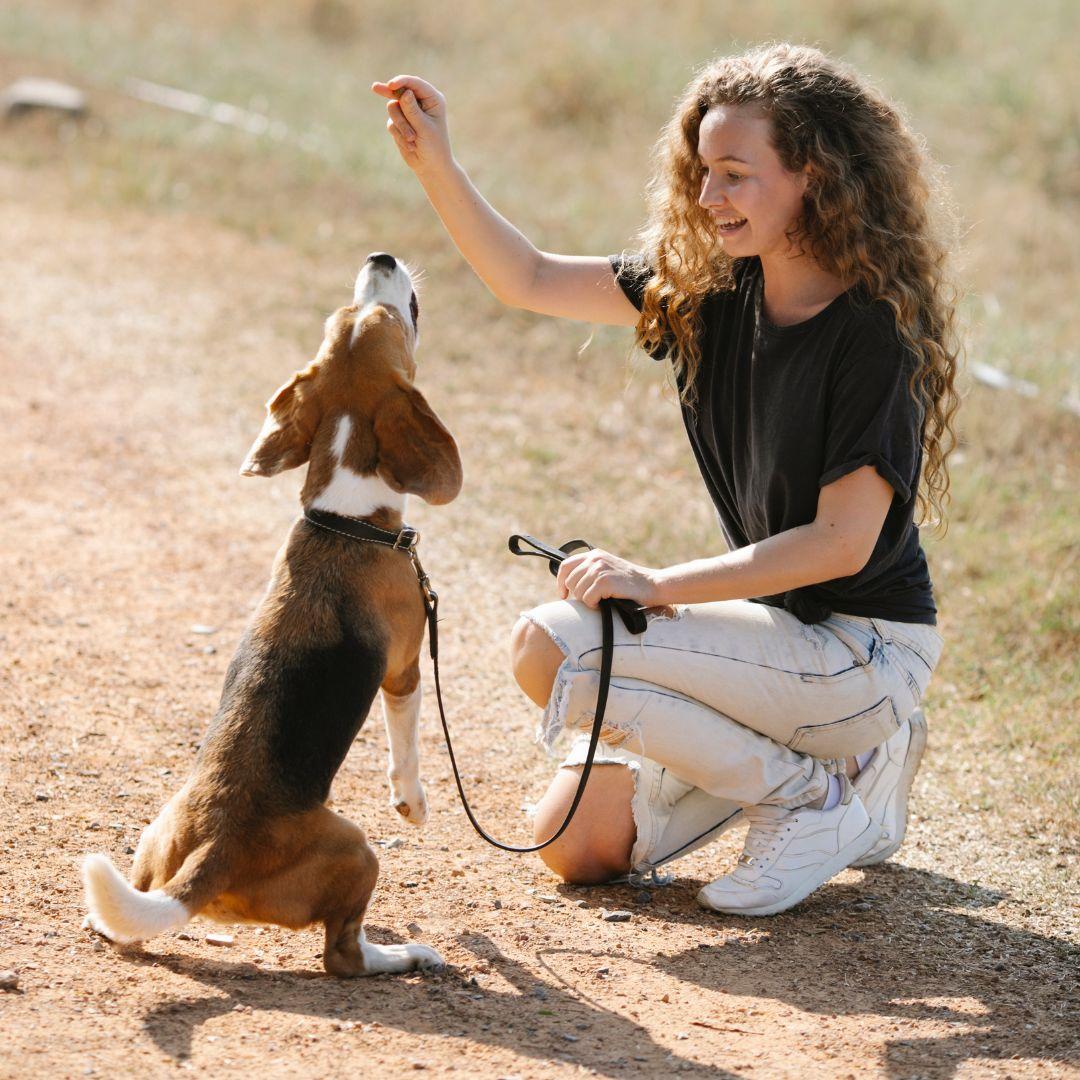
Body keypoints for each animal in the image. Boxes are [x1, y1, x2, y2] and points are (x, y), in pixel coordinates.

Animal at [79, 252, 460, 980]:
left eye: (348, 317)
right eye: (382, 317)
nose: (380, 258)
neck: (344, 517)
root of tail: (209, 856)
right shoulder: (402, 669)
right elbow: (407, 740)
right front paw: (413, 802)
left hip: (153, 838)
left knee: (127, 921)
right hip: (357, 849)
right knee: (342, 955)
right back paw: (404, 954)